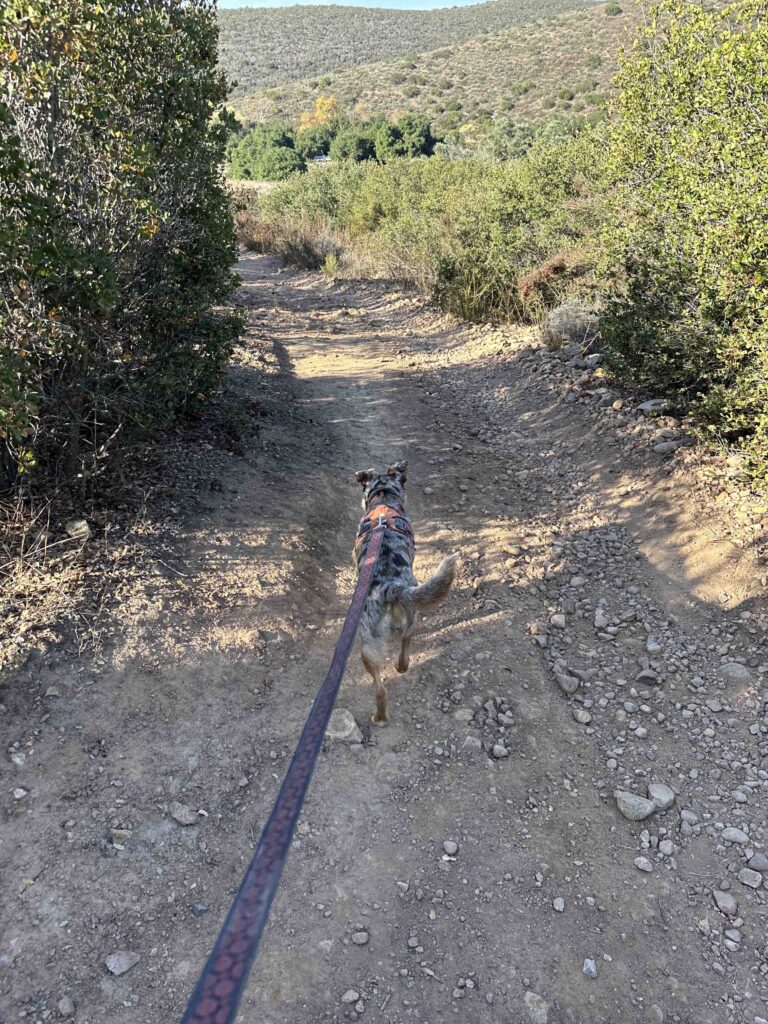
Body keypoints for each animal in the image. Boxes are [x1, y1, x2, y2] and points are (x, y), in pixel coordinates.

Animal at [354, 460, 456, 724]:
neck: (383, 499)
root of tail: (390, 586)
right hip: (403, 620)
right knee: (403, 645)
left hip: (369, 642)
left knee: (383, 682)